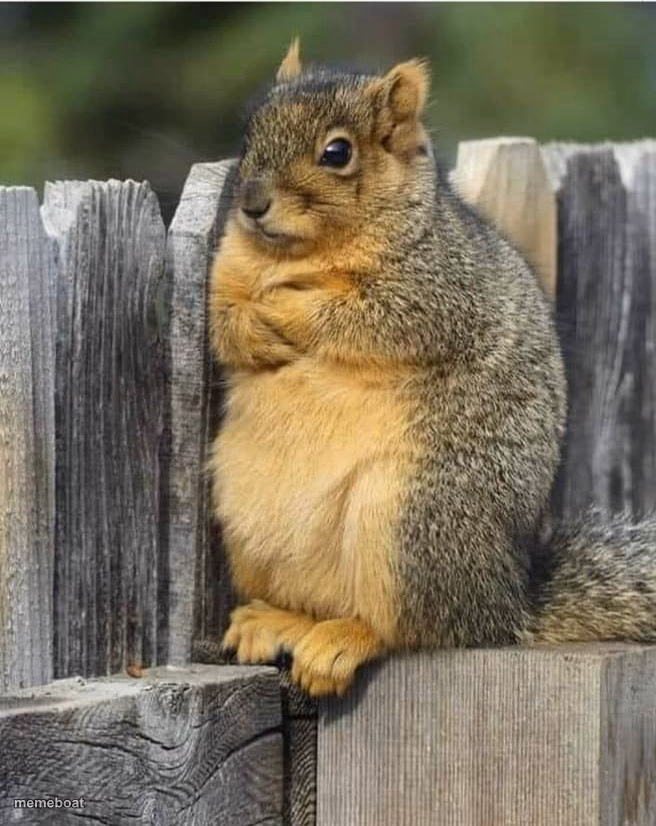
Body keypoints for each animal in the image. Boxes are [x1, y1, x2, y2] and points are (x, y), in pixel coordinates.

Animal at [207, 39, 656, 697]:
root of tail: (506, 605)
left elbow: (362, 316)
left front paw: (285, 307)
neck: (297, 255)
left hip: (410, 521)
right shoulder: (224, 273)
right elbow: (222, 322)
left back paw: (345, 640)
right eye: (249, 133)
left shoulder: (436, 288)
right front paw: (252, 327)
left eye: (337, 152)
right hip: (247, 524)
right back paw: (277, 620)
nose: (251, 204)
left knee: (413, 629)